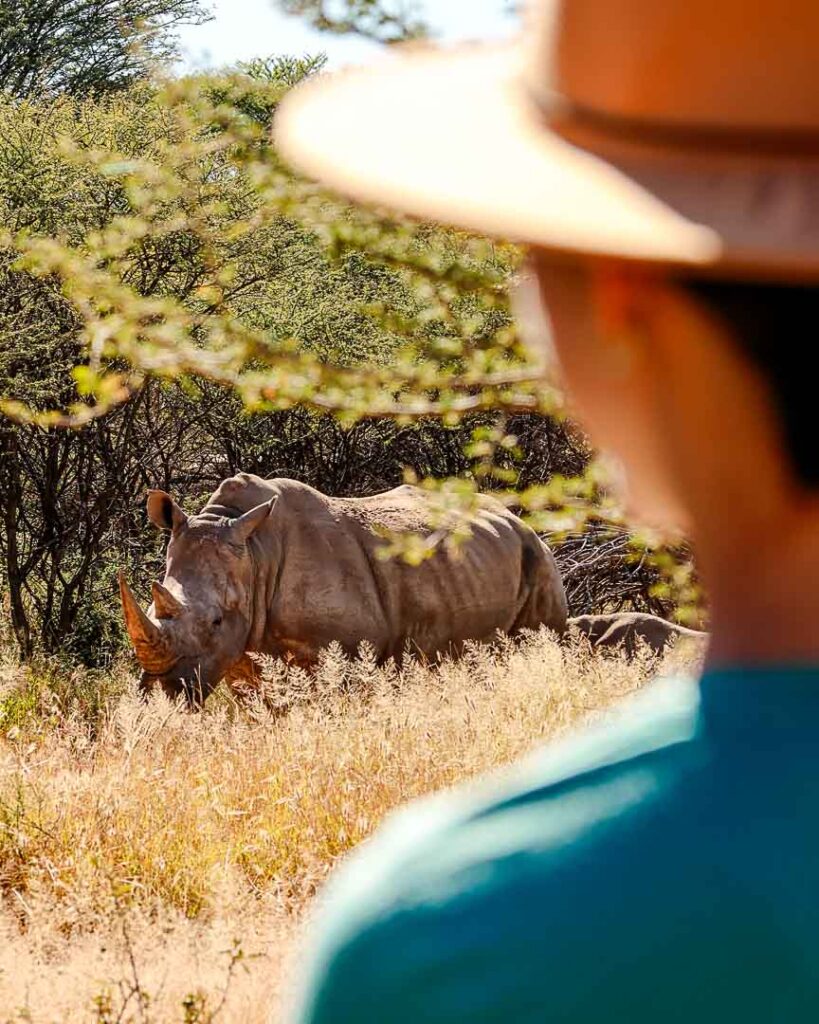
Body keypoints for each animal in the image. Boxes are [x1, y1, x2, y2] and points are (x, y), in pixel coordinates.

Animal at [120, 473, 568, 704]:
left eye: (215, 620)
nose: (162, 691)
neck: (255, 553)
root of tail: (516, 518)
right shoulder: (238, 656)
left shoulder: (347, 654)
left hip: (538, 556)